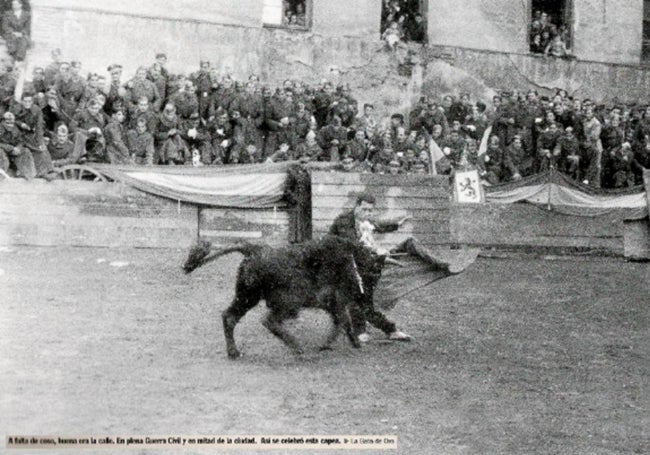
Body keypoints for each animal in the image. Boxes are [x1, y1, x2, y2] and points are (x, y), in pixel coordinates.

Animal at [182, 235, 384, 360]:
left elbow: (342, 321)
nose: (369, 304)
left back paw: (234, 352)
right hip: (287, 304)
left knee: (229, 316)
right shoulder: (336, 300)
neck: (352, 258)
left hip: (248, 297)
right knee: (268, 320)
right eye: (372, 275)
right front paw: (330, 345)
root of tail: (253, 250)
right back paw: (298, 349)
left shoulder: (333, 303)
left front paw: (351, 343)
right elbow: (342, 321)